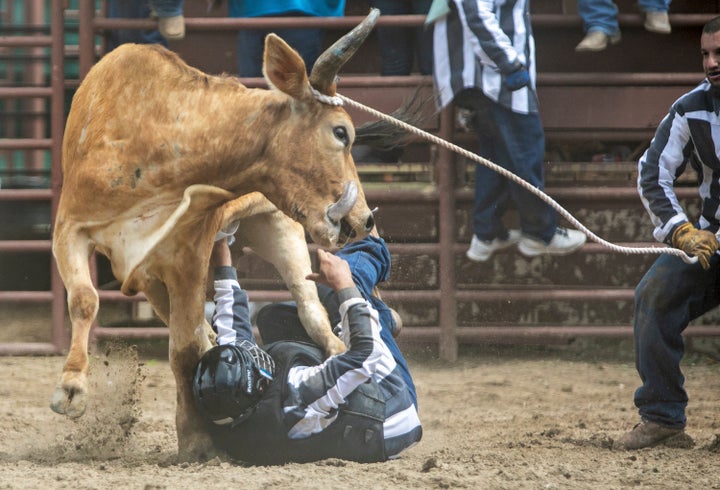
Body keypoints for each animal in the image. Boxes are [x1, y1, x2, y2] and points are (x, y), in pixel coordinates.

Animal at [51, 10, 380, 460]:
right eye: (341, 132)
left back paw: (341, 355)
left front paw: (195, 439)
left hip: (280, 227)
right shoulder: (71, 229)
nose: (362, 220)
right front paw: (71, 387)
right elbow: (85, 299)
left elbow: (185, 347)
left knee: (312, 313)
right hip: (151, 278)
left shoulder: (187, 255)